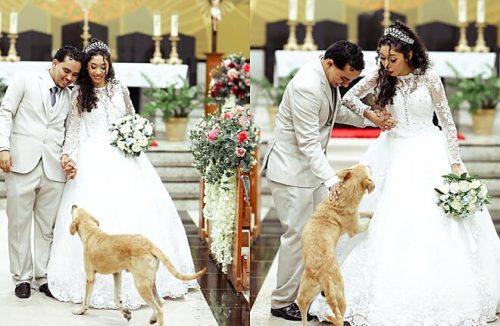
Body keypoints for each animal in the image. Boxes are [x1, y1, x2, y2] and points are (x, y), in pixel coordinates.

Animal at [69, 205, 206, 324]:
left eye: (75, 211)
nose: (73, 205)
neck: (91, 232)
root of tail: (150, 245)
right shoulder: (117, 273)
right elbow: (117, 298)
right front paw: (126, 313)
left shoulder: (90, 277)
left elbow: (86, 298)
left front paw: (80, 311)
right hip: (150, 282)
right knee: (159, 303)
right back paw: (153, 318)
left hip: (141, 284)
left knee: (159, 309)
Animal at [294, 164, 374, 324]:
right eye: (364, 168)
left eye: (357, 165)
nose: (369, 164)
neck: (345, 194)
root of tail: (323, 276)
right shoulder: (354, 228)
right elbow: (365, 223)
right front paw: (373, 217)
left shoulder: (356, 215)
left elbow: (363, 212)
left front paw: (370, 213)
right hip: (341, 294)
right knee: (340, 318)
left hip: (304, 292)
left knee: (303, 308)